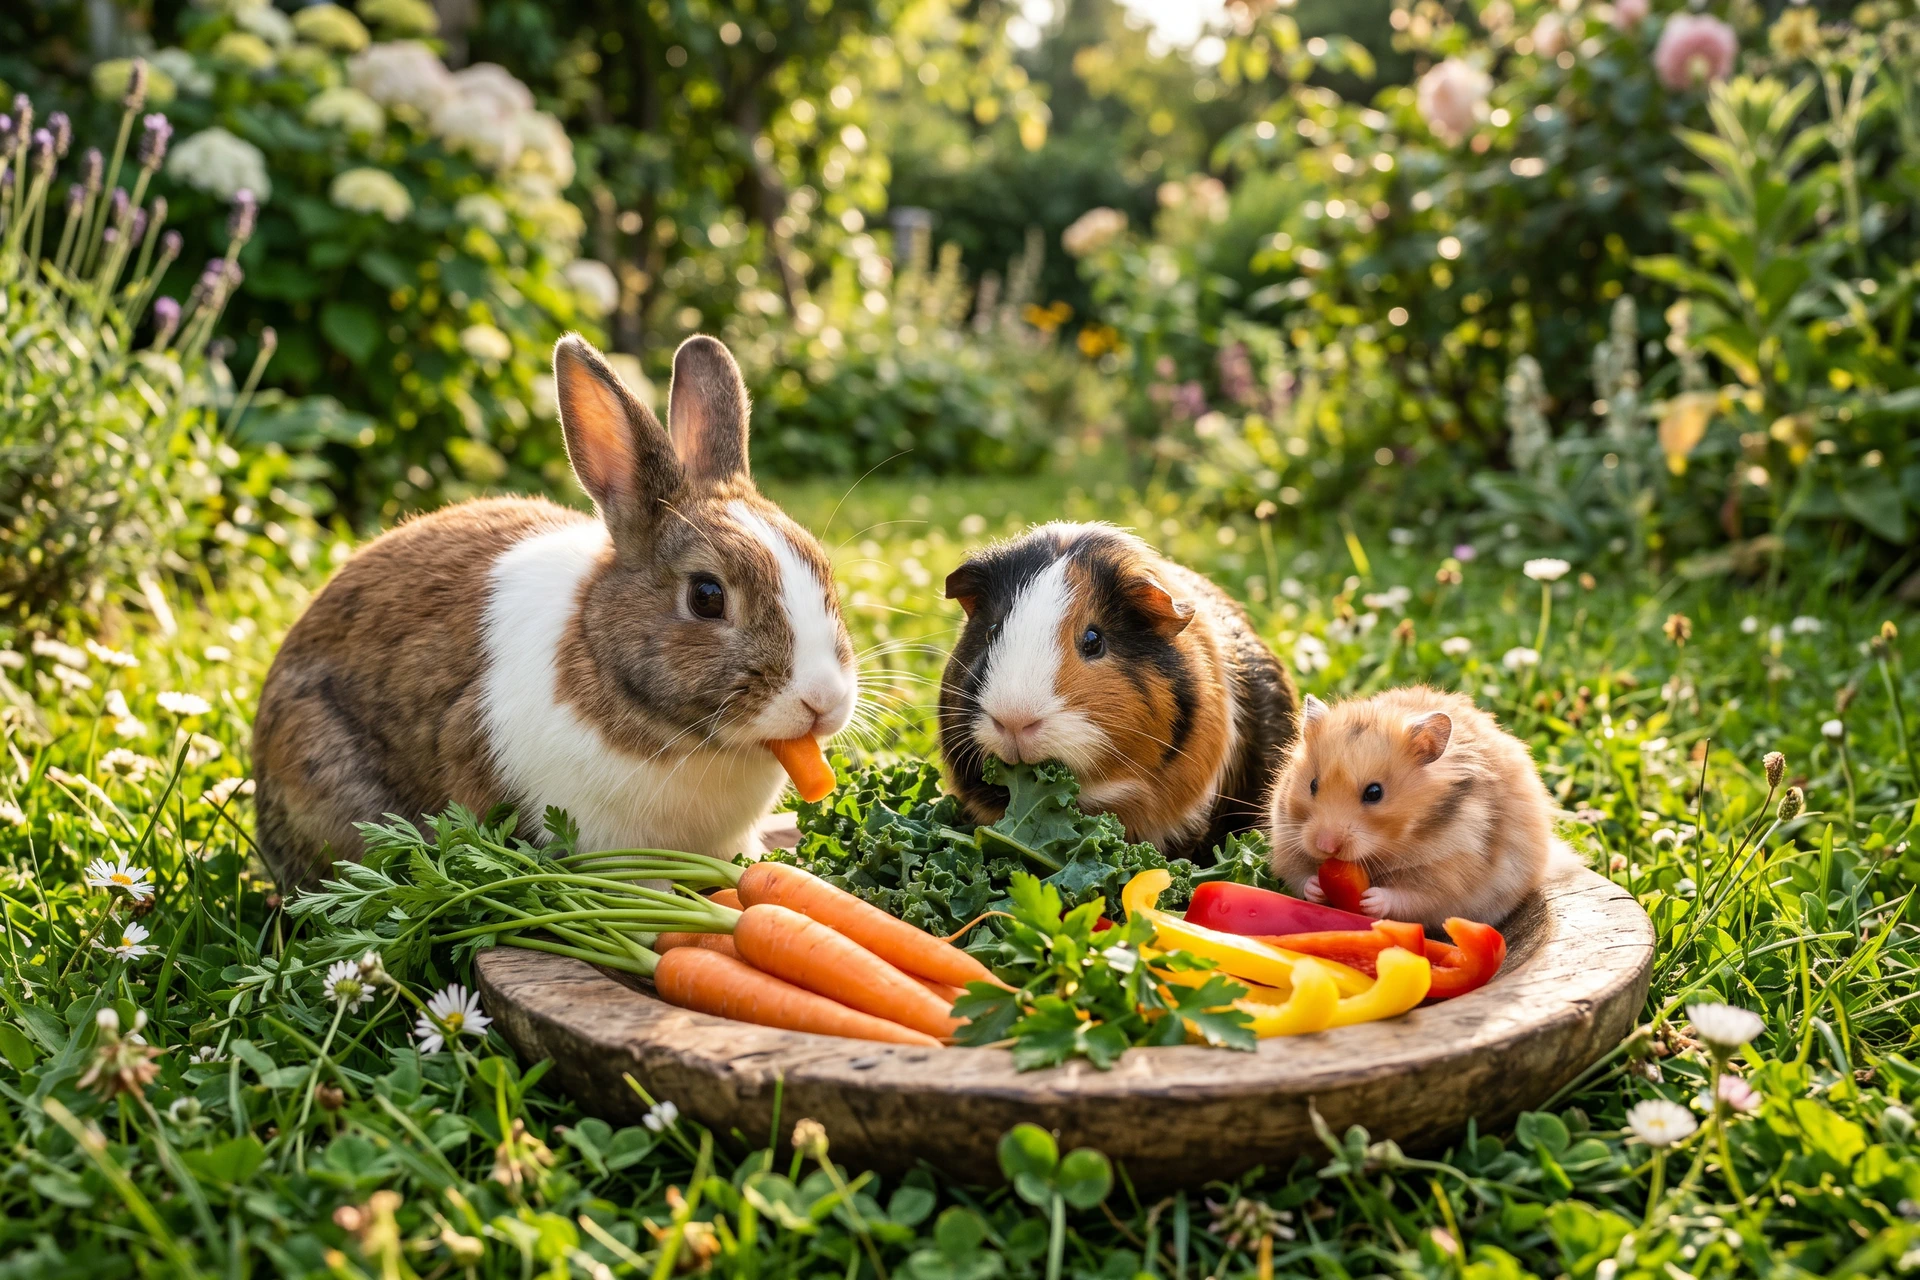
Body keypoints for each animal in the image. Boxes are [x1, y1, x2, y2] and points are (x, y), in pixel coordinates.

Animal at [1267, 687, 1555, 927]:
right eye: (1313, 784)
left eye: (1374, 793)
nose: (1326, 846)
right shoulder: (1286, 837)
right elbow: (1300, 876)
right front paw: (1316, 886)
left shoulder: (1450, 871)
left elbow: (1412, 897)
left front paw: (1370, 900)